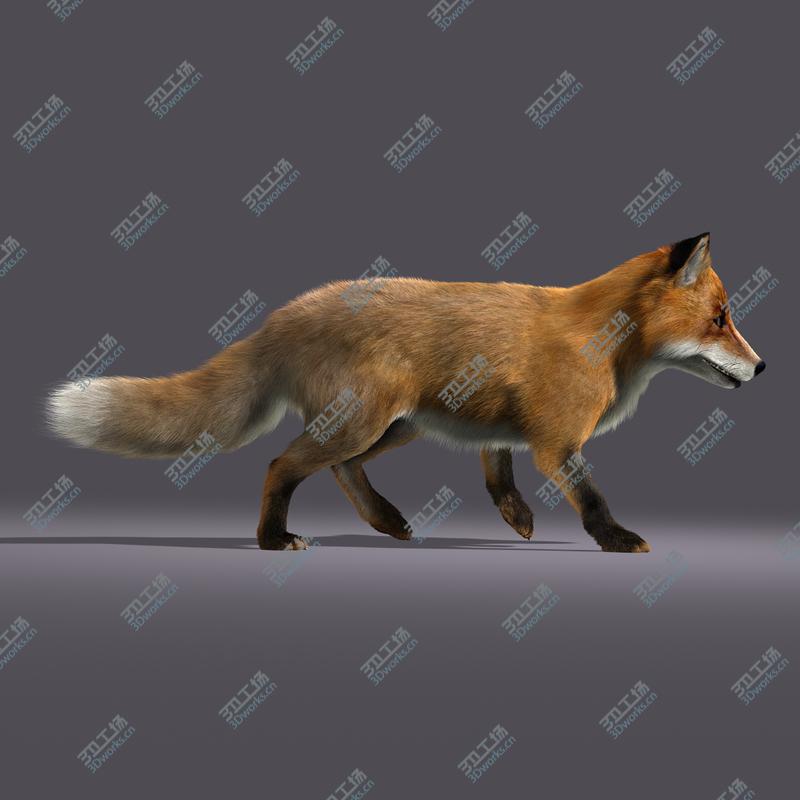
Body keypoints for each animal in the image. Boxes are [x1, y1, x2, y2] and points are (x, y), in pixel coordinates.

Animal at [46, 232, 765, 553]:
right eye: (721, 318)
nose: (763, 368)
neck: (602, 339)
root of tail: (284, 314)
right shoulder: (558, 443)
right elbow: (591, 497)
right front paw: (614, 538)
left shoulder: (504, 429)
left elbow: (497, 472)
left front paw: (516, 517)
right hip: (365, 421)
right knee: (282, 464)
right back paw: (274, 539)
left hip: (398, 426)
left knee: (340, 469)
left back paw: (386, 521)